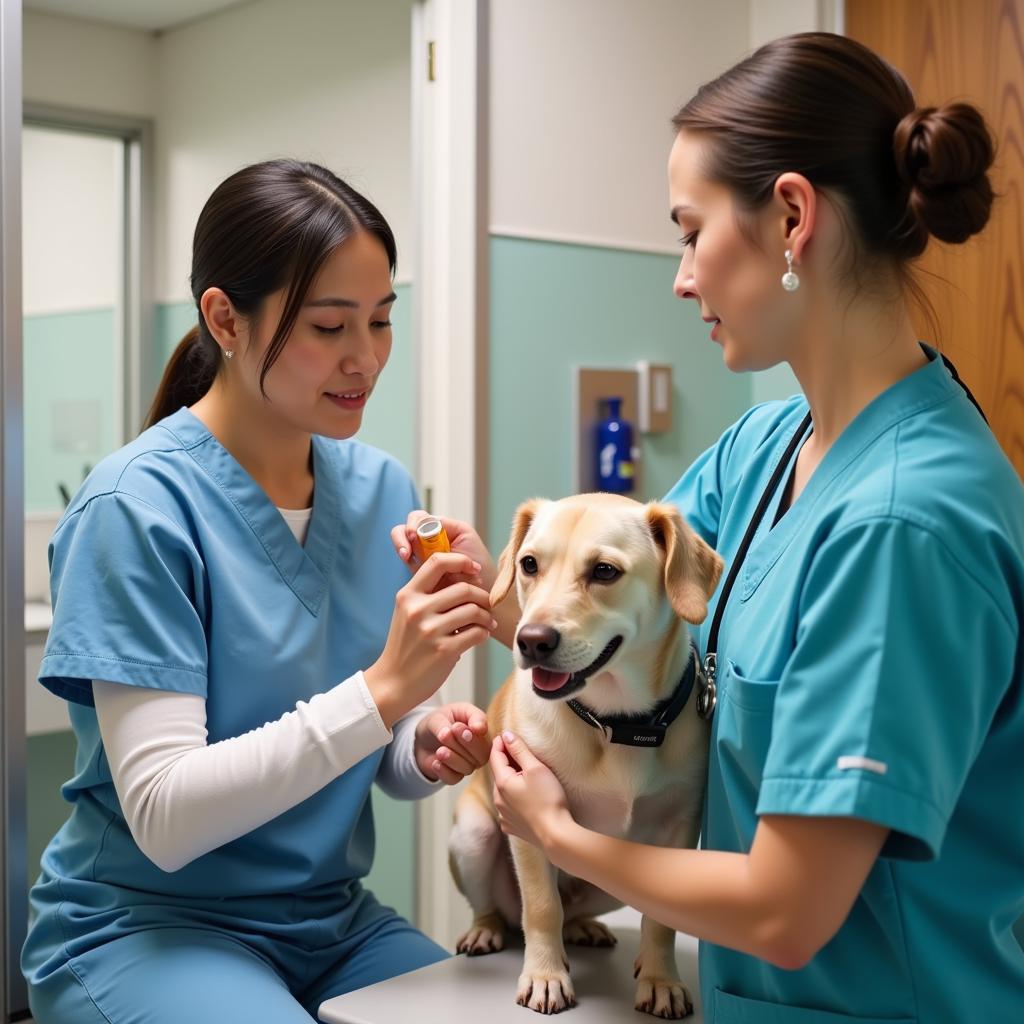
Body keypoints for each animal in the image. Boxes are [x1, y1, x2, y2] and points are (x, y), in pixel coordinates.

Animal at [448, 493, 720, 1015]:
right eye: (529, 564)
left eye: (605, 571)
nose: (531, 640)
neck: (617, 724)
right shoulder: (525, 826)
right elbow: (541, 907)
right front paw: (545, 976)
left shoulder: (680, 827)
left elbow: (660, 922)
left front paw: (660, 978)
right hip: (473, 836)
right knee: (501, 909)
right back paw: (486, 930)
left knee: (583, 910)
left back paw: (585, 928)